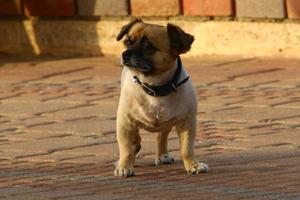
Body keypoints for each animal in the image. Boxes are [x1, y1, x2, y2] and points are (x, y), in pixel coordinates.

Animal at [115, 19, 209, 177]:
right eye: (127, 42)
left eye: (148, 46)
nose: (125, 53)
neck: (155, 87)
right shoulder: (125, 122)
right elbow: (126, 149)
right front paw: (125, 166)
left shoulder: (187, 123)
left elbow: (187, 149)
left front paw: (193, 165)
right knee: (136, 140)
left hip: (167, 123)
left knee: (162, 136)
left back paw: (162, 154)